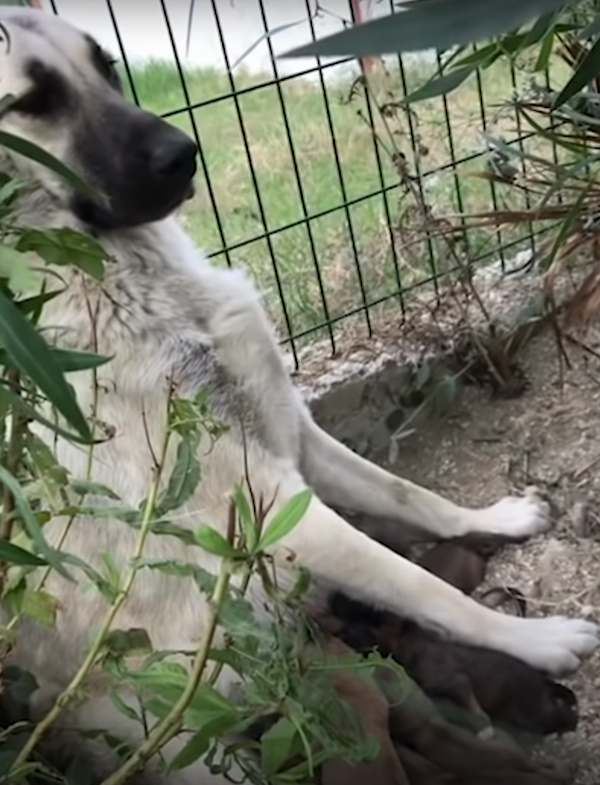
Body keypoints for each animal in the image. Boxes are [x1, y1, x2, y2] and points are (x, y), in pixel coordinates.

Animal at [1, 7, 596, 784]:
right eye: (33, 102)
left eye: (106, 66)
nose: (183, 155)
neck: (138, 285)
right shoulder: (272, 505)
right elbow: (418, 582)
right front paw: (535, 638)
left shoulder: (296, 432)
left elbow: (412, 496)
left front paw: (493, 516)